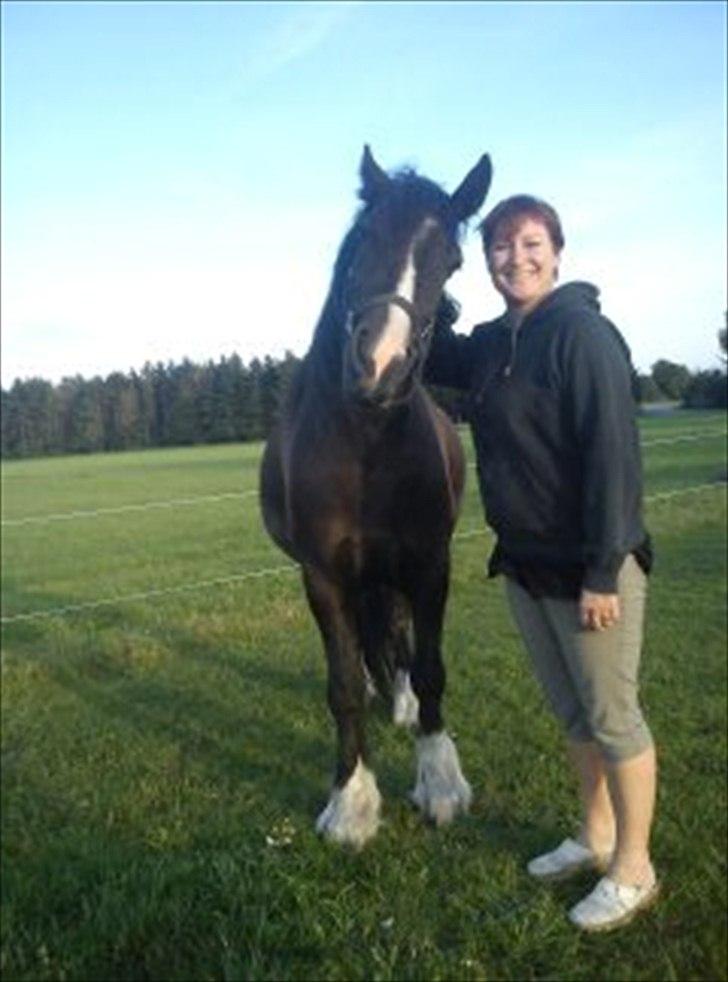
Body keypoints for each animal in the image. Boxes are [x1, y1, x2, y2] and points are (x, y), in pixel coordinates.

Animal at [259, 146, 492, 847]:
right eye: (362, 239)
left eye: (453, 261)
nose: (379, 368)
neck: (365, 442)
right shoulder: (324, 574)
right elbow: (341, 685)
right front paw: (352, 801)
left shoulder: (429, 563)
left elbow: (432, 664)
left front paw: (440, 781)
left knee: (398, 632)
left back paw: (405, 701)